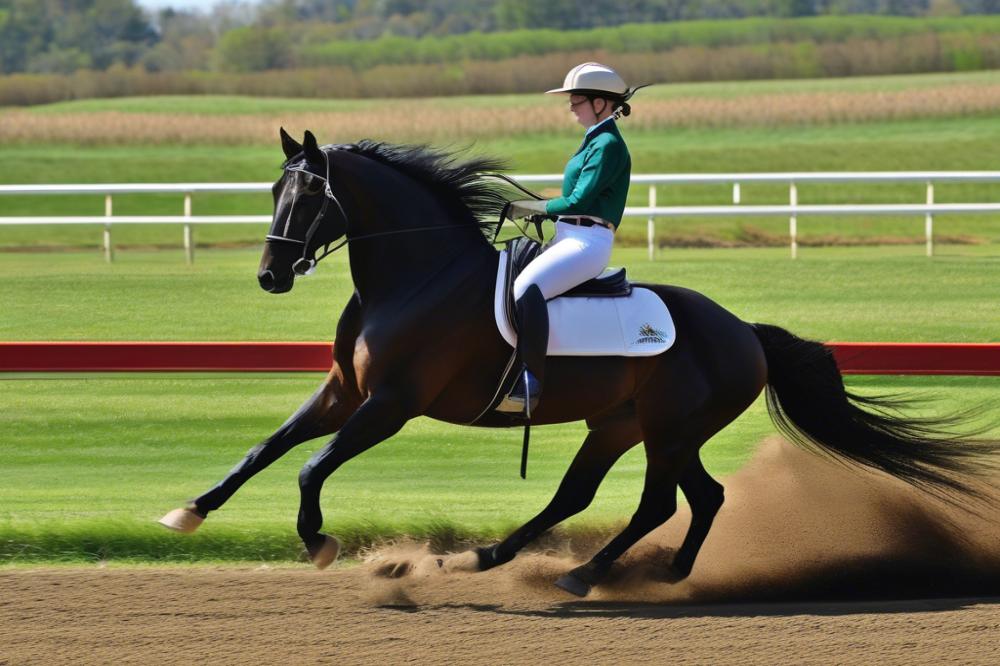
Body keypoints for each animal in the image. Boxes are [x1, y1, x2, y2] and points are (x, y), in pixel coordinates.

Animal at [160, 130, 996, 596]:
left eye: (309, 196)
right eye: (275, 189)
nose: (270, 274)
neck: (413, 275)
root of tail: (745, 331)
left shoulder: (391, 403)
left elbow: (310, 467)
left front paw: (320, 542)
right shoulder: (343, 392)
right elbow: (266, 448)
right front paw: (191, 509)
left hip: (666, 428)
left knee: (659, 503)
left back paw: (584, 574)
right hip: (629, 424)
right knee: (660, 496)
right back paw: (519, 560)